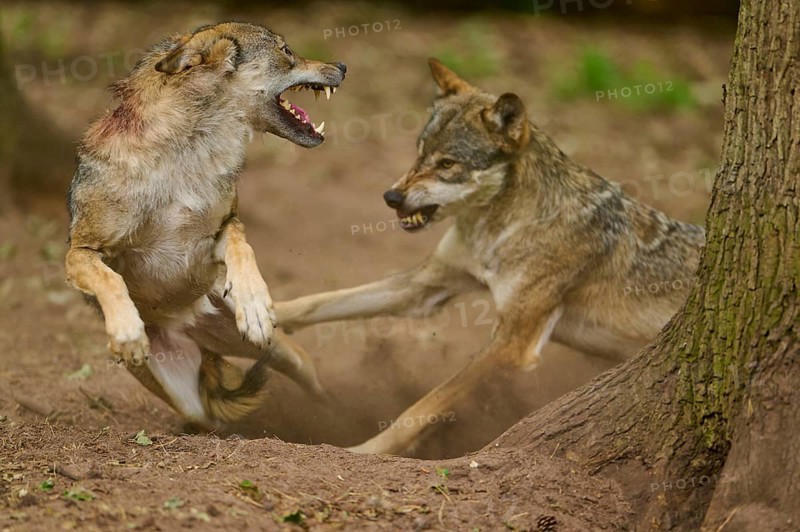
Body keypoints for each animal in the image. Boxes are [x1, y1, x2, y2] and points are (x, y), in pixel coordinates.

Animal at [65, 22, 346, 428]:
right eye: (286, 50)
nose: (342, 66)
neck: (188, 153)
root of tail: (191, 327)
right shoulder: (81, 250)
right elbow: (110, 280)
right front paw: (127, 332)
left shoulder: (221, 229)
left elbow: (242, 247)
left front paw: (254, 306)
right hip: (188, 401)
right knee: (211, 420)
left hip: (284, 354)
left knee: (314, 390)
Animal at [275, 59, 706, 455]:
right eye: (420, 153)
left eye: (448, 164)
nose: (391, 198)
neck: (498, 230)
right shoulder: (423, 289)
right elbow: (312, 303)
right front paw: (264, 319)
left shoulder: (512, 343)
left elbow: (424, 405)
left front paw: (367, 451)